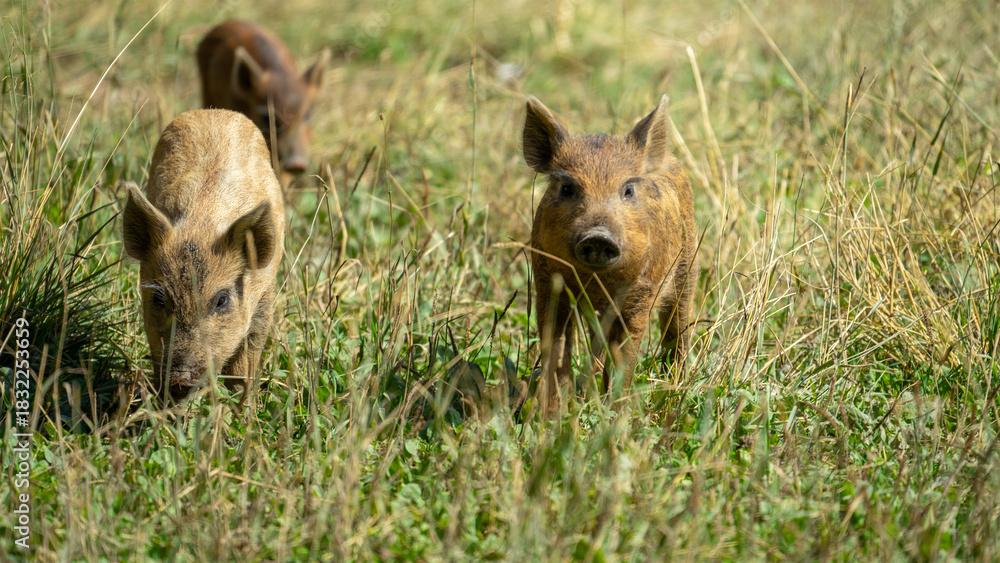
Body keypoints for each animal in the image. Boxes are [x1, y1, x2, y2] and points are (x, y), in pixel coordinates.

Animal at [122, 109, 285, 401]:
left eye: (221, 300)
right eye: (159, 298)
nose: (180, 378)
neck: (201, 226)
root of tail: (214, 111)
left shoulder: (264, 298)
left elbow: (243, 371)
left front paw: (245, 411)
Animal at [522, 95, 697, 416]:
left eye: (627, 189)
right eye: (567, 188)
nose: (599, 235)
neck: (595, 282)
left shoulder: (640, 294)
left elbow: (625, 356)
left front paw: (616, 415)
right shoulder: (547, 284)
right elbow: (555, 346)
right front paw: (553, 416)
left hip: (688, 269)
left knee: (678, 328)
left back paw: (675, 385)